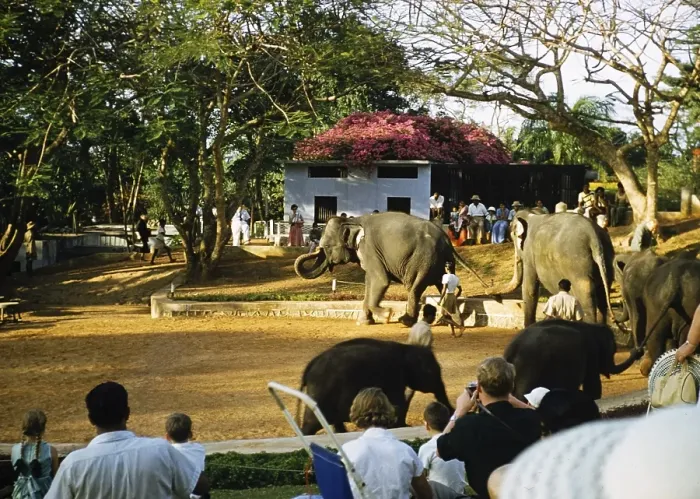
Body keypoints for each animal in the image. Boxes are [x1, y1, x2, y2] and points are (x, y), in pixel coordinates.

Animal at [294, 212, 487, 326]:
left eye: (326, 246)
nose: (314, 246)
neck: (353, 220)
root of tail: (447, 239)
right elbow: (369, 281)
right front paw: (364, 322)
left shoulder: (369, 248)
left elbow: (380, 280)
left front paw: (387, 314)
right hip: (440, 261)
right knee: (443, 287)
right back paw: (450, 322)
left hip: (423, 258)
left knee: (414, 287)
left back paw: (405, 321)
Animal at [297, 338, 453, 435]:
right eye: (432, 372)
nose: (451, 412)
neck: (405, 348)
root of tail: (309, 367)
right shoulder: (393, 375)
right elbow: (397, 403)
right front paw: (399, 426)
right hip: (321, 392)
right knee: (312, 424)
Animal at [488, 211, 617, 327]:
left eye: (512, 236)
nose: (495, 297)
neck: (531, 214)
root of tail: (594, 237)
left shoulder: (529, 253)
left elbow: (530, 289)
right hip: (607, 258)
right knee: (602, 296)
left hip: (577, 264)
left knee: (586, 292)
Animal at [504, 319, 642, 400]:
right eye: (613, 351)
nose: (637, 351)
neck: (592, 326)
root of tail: (512, 349)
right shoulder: (591, 351)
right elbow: (593, 387)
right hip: (530, 366)